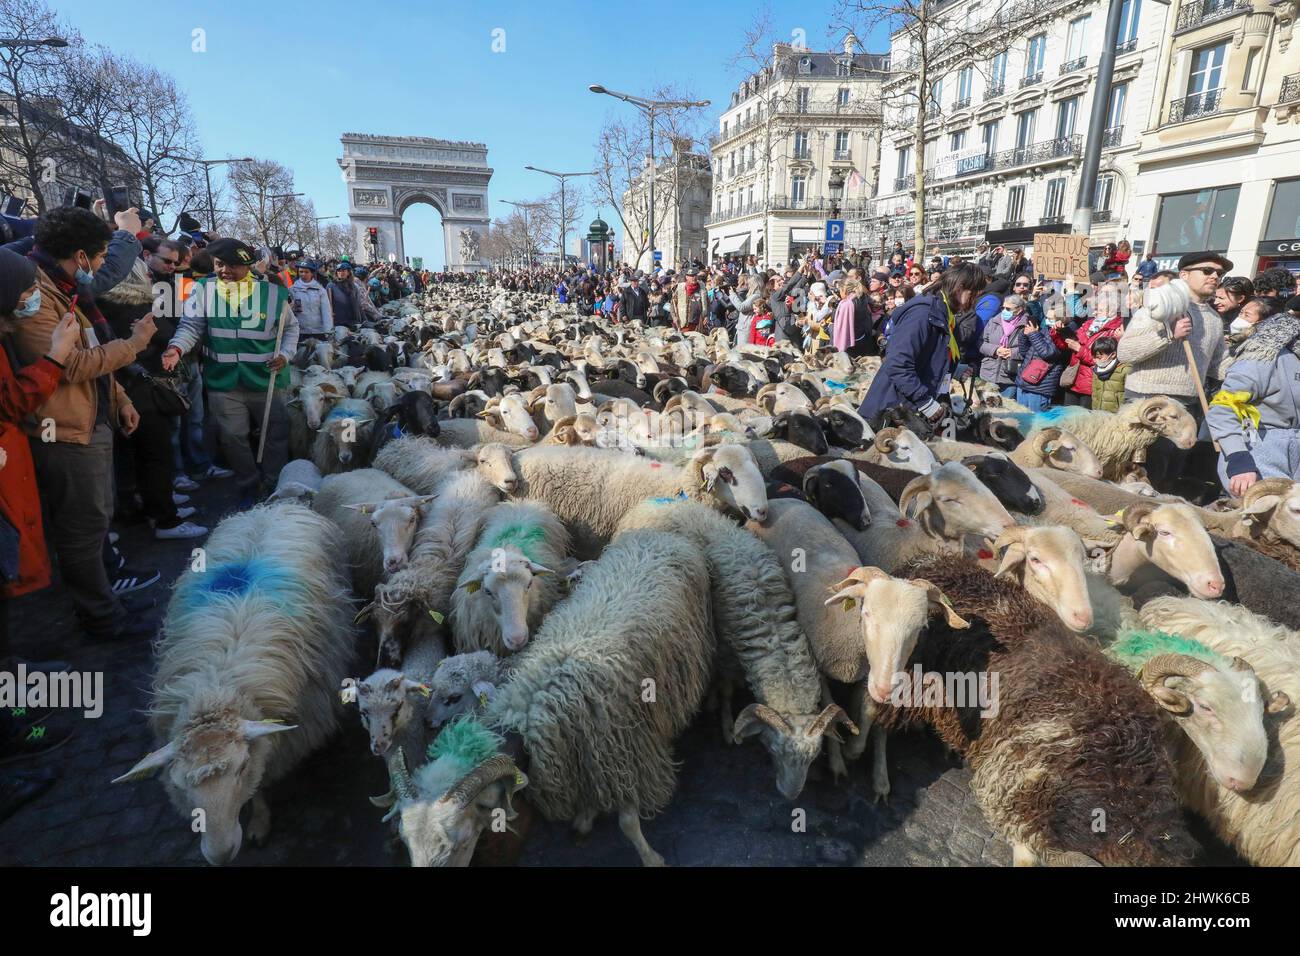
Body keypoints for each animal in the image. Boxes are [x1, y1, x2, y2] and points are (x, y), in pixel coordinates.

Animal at [110, 502, 356, 868]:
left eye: (240, 770)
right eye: (181, 786)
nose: (221, 853)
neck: (217, 686)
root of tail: (274, 506)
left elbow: (262, 778)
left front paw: (258, 821)